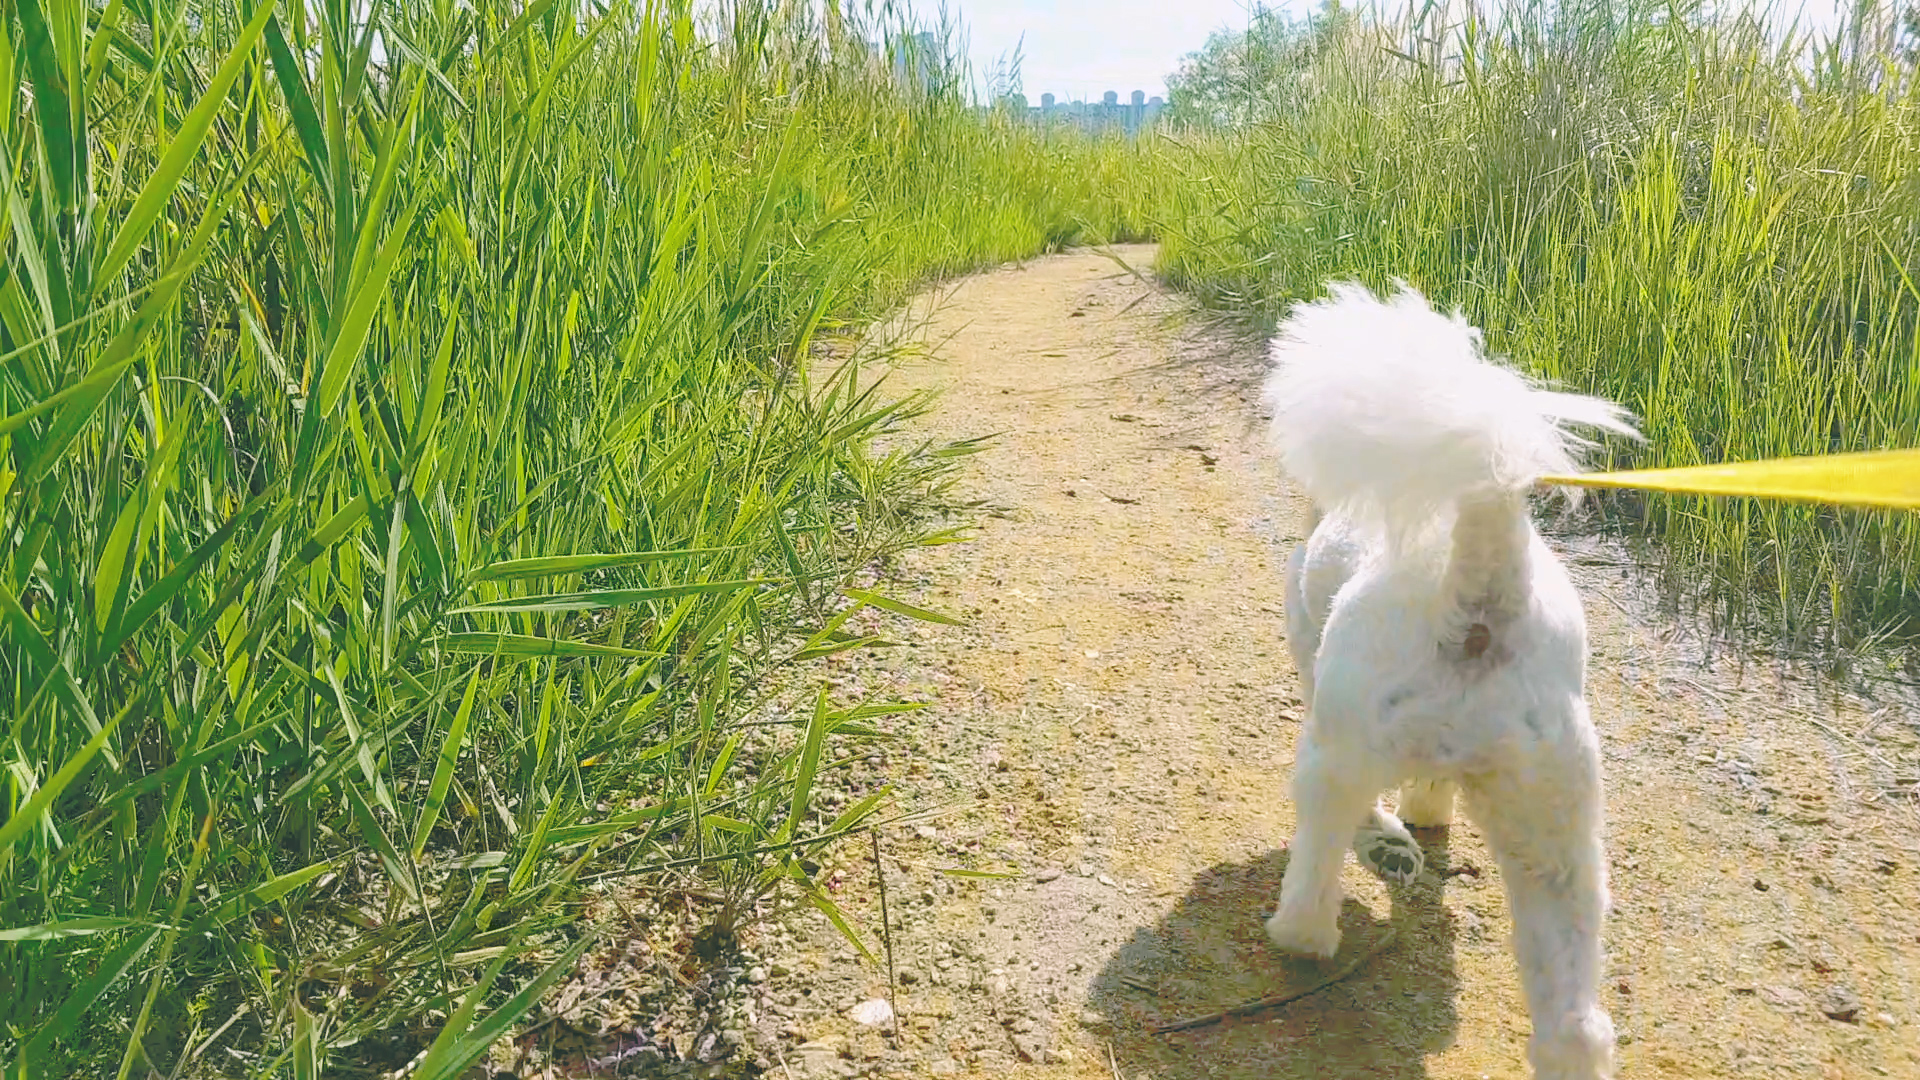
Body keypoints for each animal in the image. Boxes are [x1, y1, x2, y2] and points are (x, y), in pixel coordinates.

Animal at [1260, 281, 1638, 1080]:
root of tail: (1479, 592)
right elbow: (1432, 789)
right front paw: (1427, 816)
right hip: (1554, 818)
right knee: (1578, 1023)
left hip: (1340, 753)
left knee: (1318, 866)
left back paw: (1301, 936)